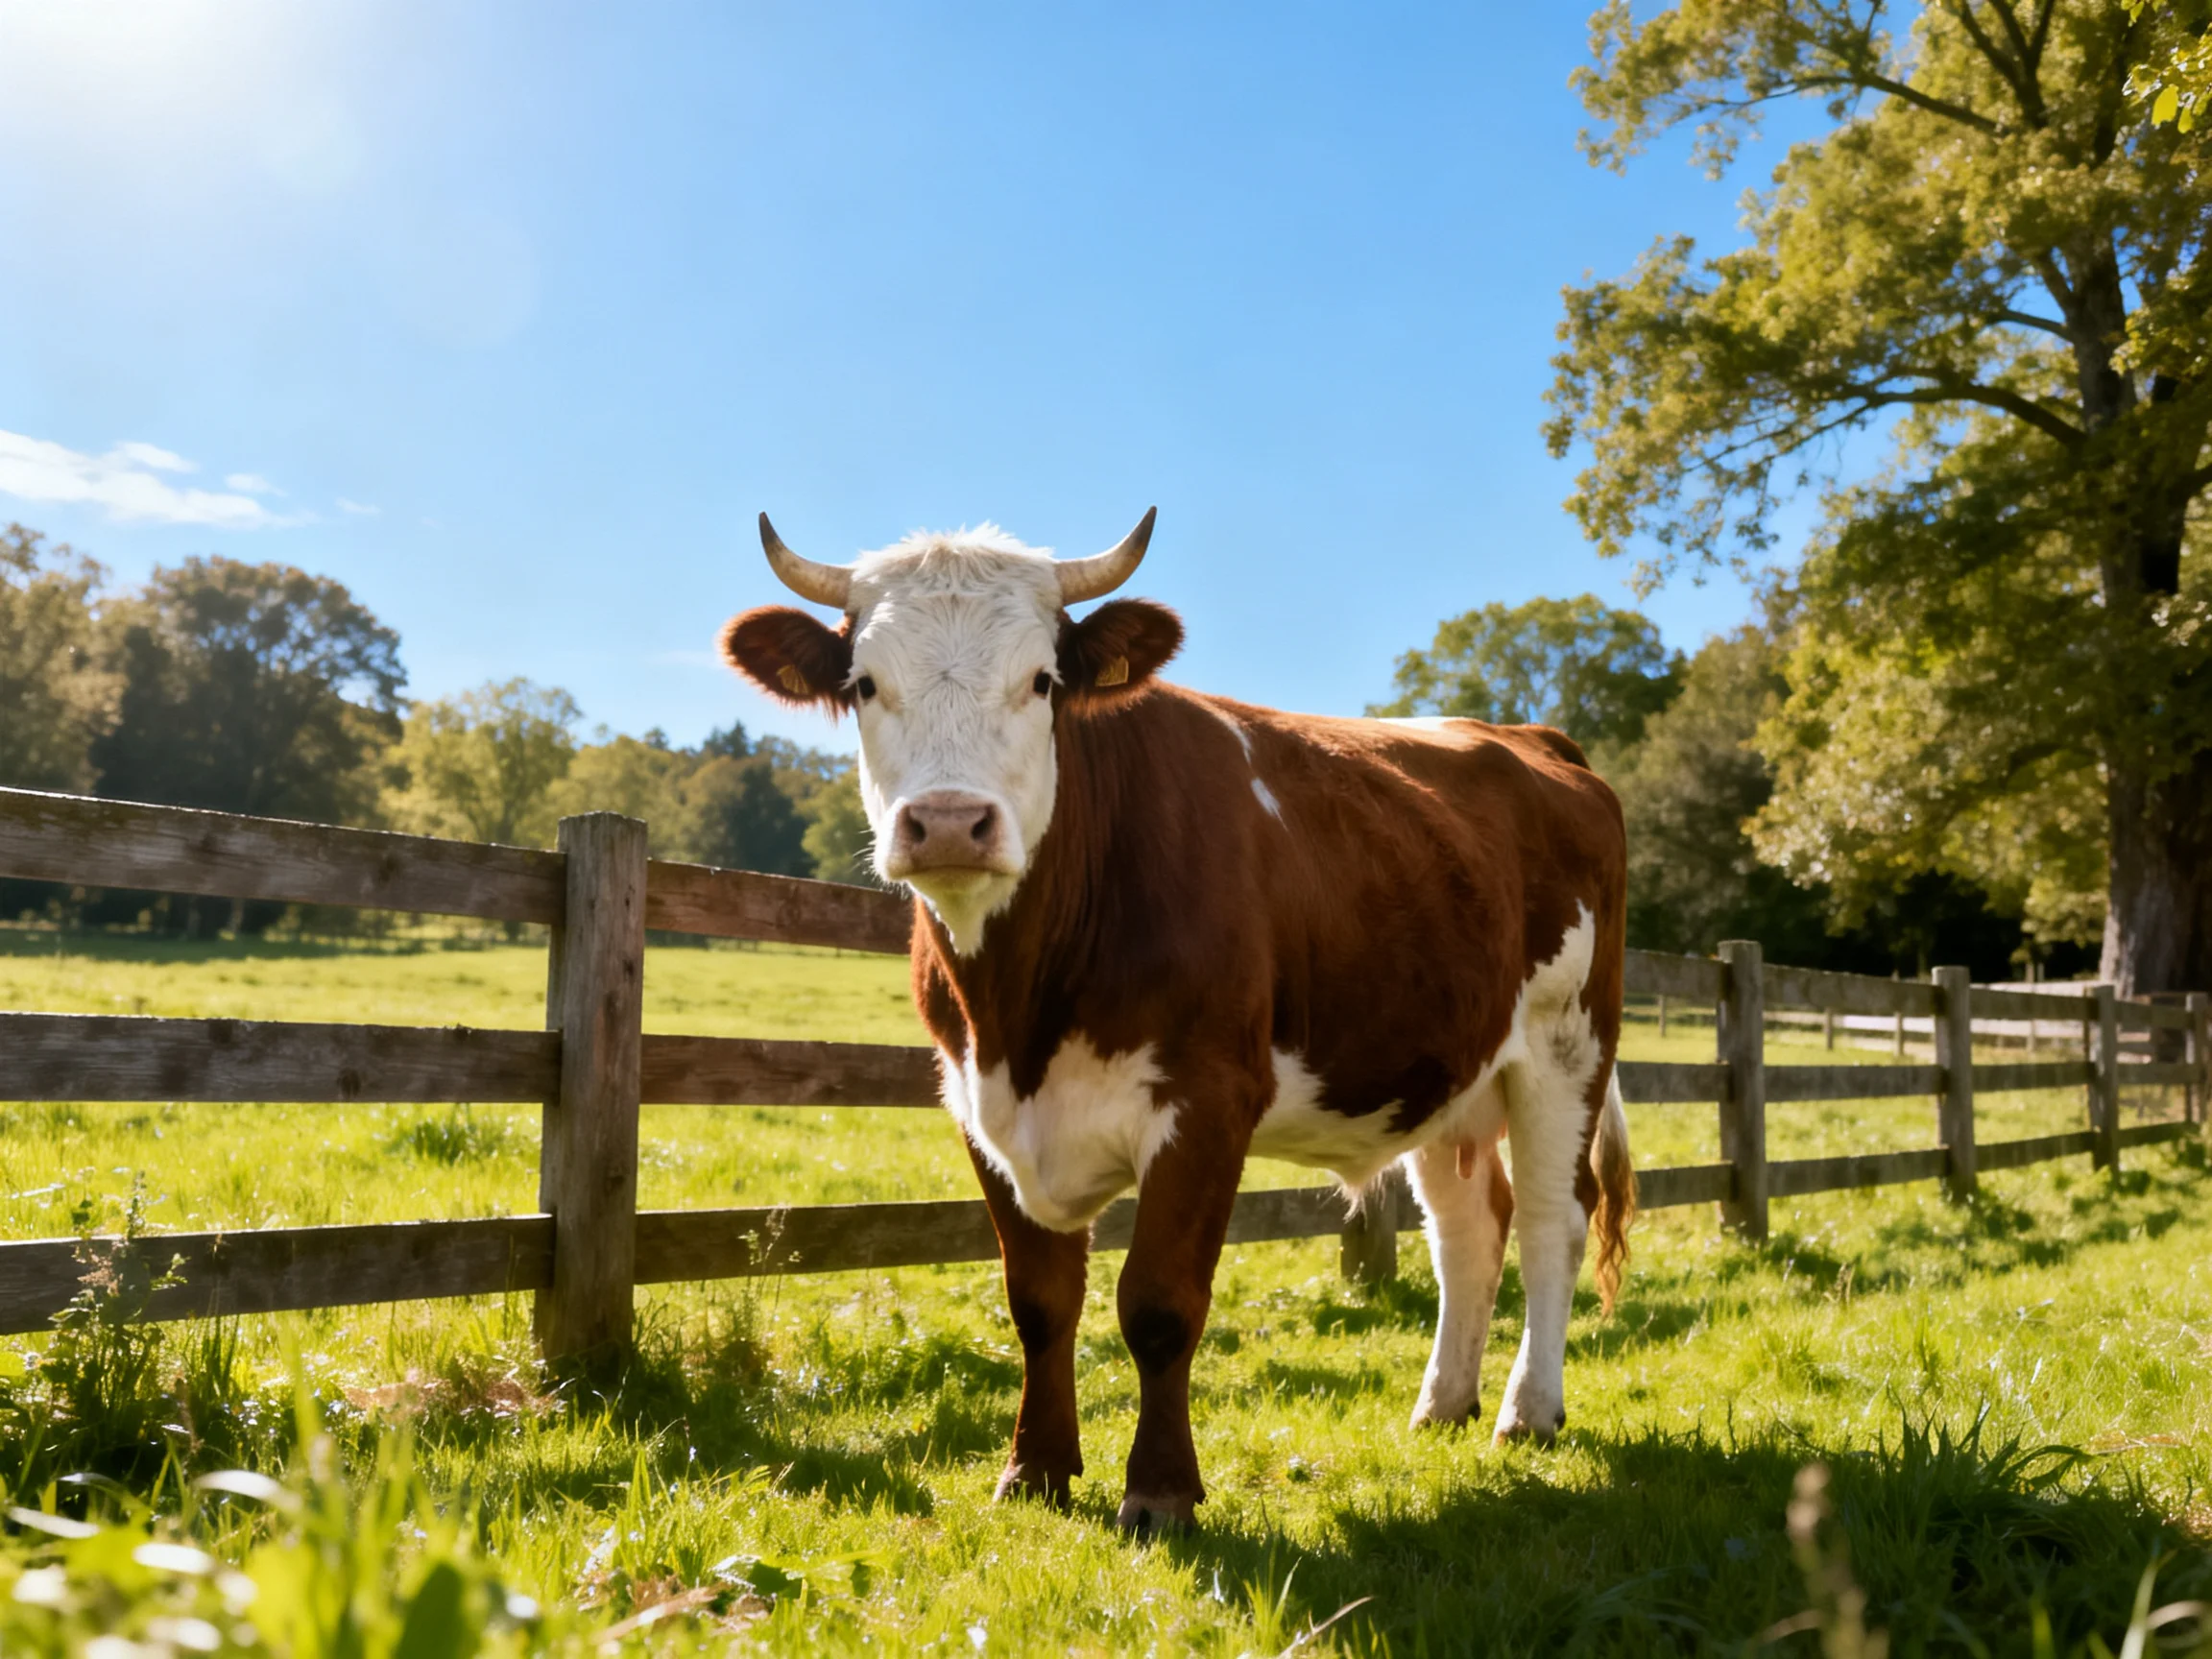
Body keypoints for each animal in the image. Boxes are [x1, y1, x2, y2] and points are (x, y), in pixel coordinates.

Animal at [718, 510, 1635, 1533]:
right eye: (865, 684)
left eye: (1043, 680)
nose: (950, 822)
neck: (1020, 1010)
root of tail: (1529, 737)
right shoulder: (974, 1104)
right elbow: (1039, 1300)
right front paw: (1033, 1469)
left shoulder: (1207, 1102)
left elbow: (1157, 1303)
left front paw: (1159, 1492)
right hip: (1449, 1071)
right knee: (1470, 1227)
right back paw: (1443, 1403)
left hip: (1566, 1046)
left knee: (1553, 1220)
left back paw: (1528, 1411)